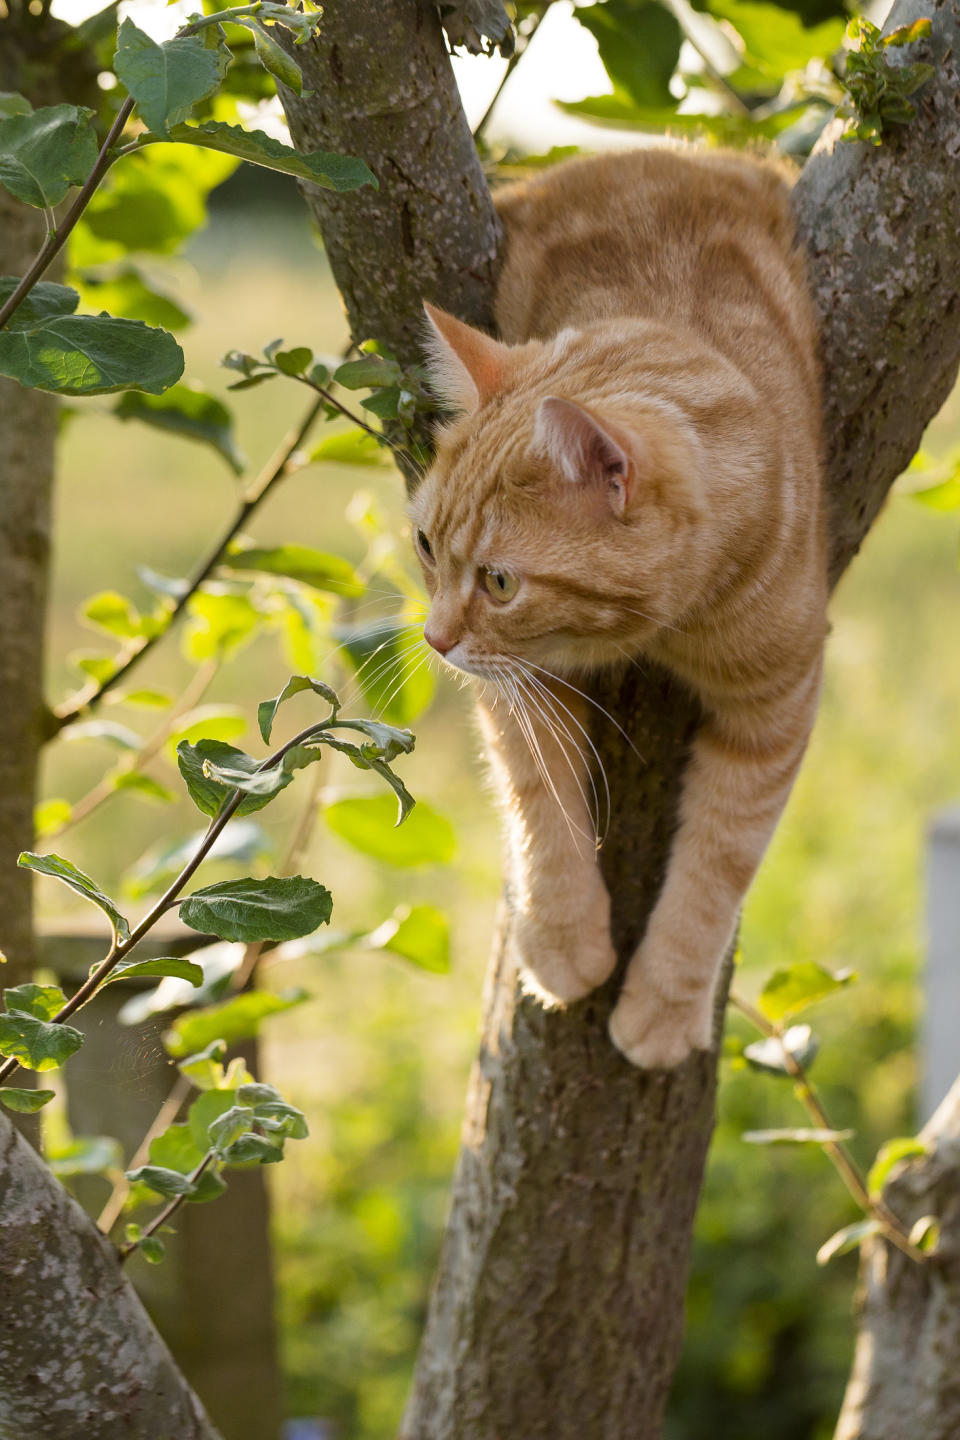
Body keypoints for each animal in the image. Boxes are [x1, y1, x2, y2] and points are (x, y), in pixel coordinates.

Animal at [408, 149, 829, 1071]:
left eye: (499, 582)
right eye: (425, 545)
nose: (435, 639)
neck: (665, 624)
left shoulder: (775, 710)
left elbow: (719, 864)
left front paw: (665, 1008)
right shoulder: (519, 685)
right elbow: (539, 808)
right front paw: (563, 942)